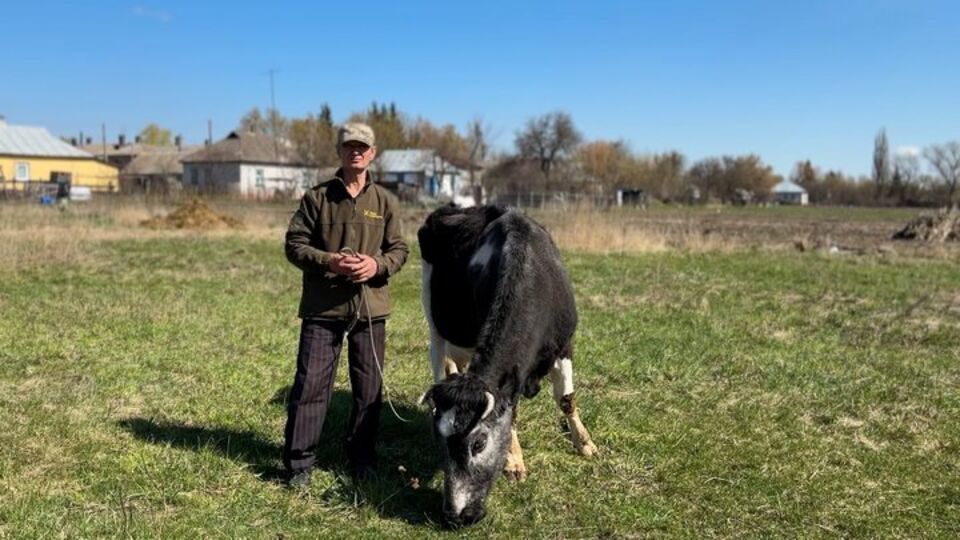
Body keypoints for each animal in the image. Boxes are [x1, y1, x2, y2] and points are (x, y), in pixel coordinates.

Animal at [417, 204, 597, 527]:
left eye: (478, 444)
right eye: (441, 443)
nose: (456, 516)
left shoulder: (565, 344)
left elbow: (566, 399)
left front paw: (584, 442)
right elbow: (511, 414)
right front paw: (514, 461)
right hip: (434, 322)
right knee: (441, 362)